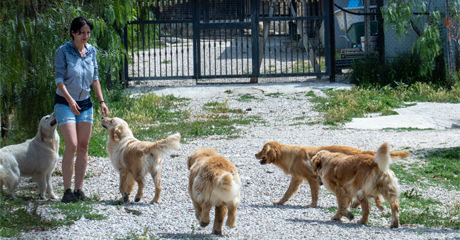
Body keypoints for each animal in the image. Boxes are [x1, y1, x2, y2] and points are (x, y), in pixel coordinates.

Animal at [255, 142, 410, 207]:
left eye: (262, 149)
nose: (254, 154)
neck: (290, 155)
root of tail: (366, 153)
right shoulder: (296, 179)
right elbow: (287, 193)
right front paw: (280, 202)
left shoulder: (312, 179)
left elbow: (314, 194)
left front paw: (312, 204)